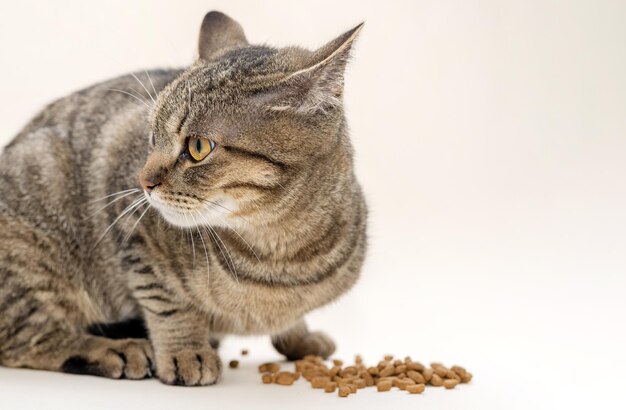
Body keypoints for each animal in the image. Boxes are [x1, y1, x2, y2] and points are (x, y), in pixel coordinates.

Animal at [0, 11, 366, 386]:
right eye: (151, 137)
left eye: (198, 147)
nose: (143, 181)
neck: (276, 255)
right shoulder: (131, 228)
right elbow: (167, 301)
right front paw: (185, 351)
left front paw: (301, 338)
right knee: (23, 339)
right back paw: (113, 349)